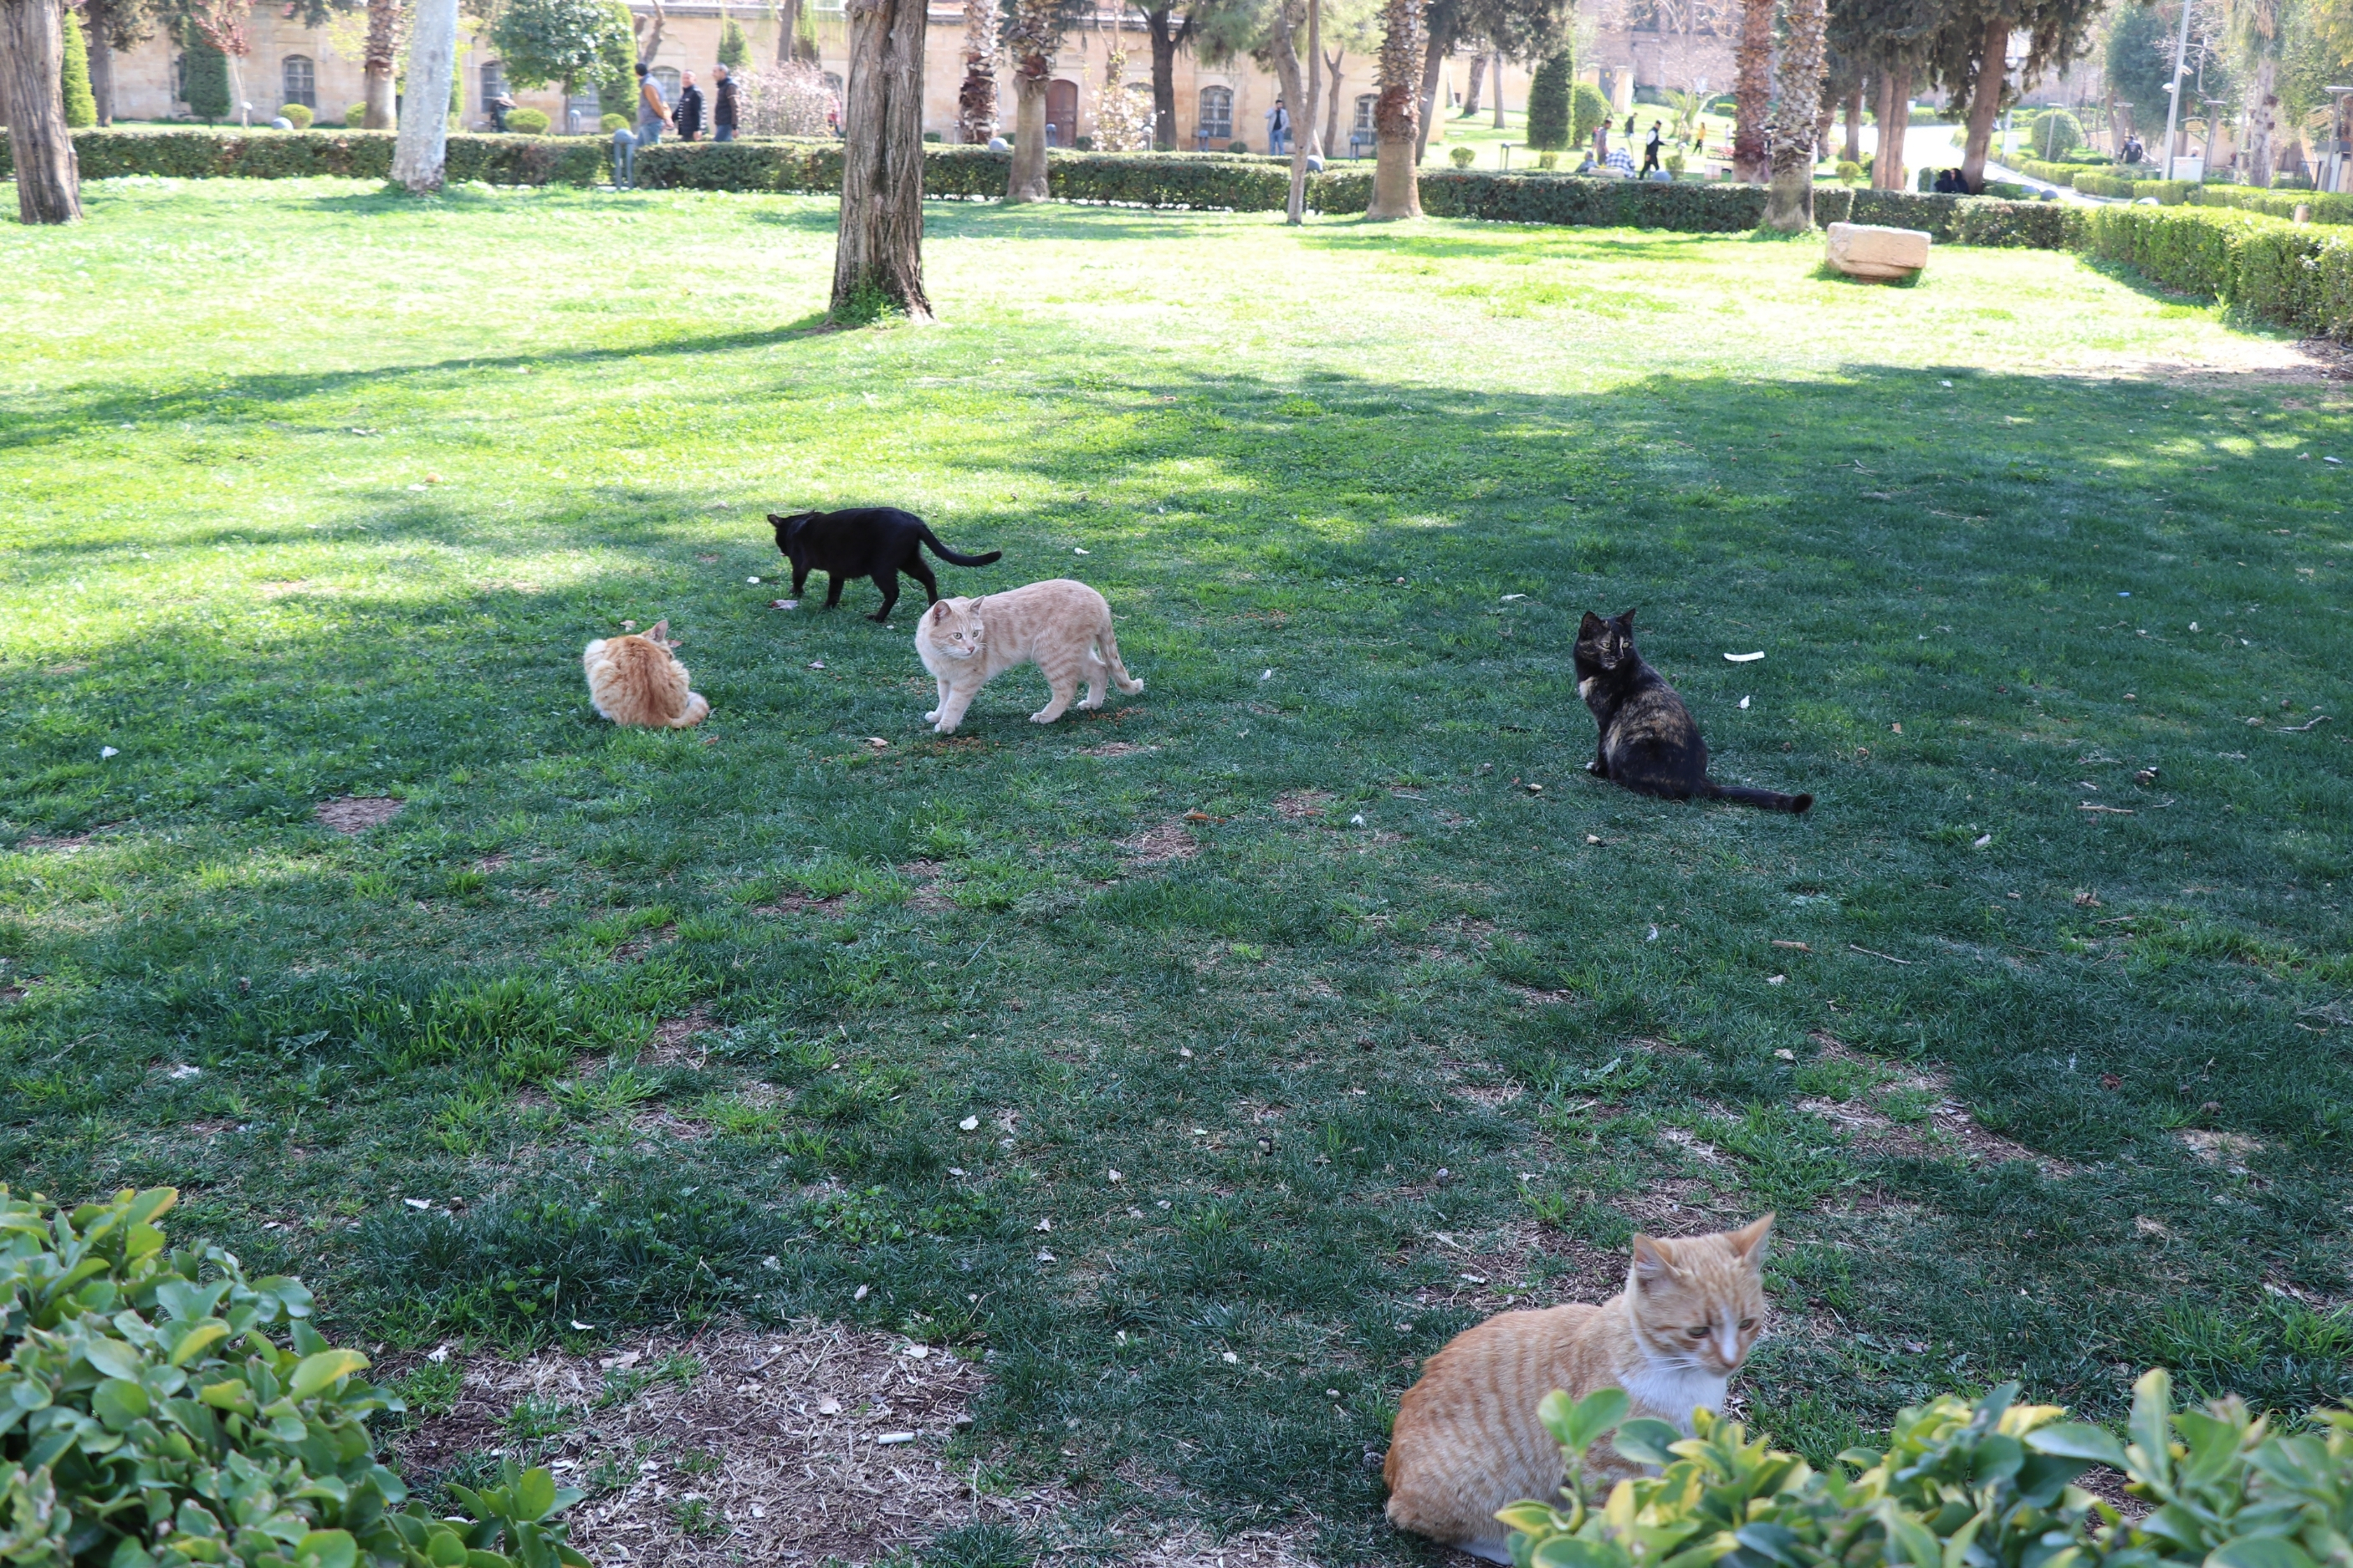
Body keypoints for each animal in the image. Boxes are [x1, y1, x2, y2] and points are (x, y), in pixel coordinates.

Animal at [581, 621, 705, 728]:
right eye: (670, 656)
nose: (670, 659)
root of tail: (659, 716)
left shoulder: (595, 650)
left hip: (600, 665)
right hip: (680, 669)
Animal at [767, 505, 997, 621]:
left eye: (779, 539)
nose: (781, 550)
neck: (797, 525)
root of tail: (915, 520)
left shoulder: (800, 564)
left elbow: (798, 579)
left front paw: (795, 594)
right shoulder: (837, 572)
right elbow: (834, 591)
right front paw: (827, 607)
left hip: (881, 567)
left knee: (893, 592)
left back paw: (878, 618)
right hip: (909, 560)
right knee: (929, 577)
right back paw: (932, 608)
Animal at [913, 580, 1143, 738]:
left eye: (976, 633)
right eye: (958, 636)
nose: (972, 648)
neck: (941, 655)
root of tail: (1099, 598)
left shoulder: (966, 680)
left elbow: (954, 703)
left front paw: (946, 725)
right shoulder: (944, 679)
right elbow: (944, 699)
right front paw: (938, 715)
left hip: (1053, 654)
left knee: (1067, 689)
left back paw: (1047, 716)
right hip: (1076, 654)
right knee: (1101, 669)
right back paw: (1092, 703)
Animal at [1373, 1222, 1769, 1560]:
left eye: (1747, 1323)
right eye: (1697, 1331)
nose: (1730, 1360)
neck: (1683, 1377)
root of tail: (1392, 1475)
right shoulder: (1609, 1469)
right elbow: (1613, 1523)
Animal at [1581, 610, 1816, 818]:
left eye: (1626, 644)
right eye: (1606, 645)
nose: (1619, 656)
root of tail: (1698, 780)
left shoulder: (1606, 720)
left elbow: (1602, 747)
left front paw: (1598, 769)